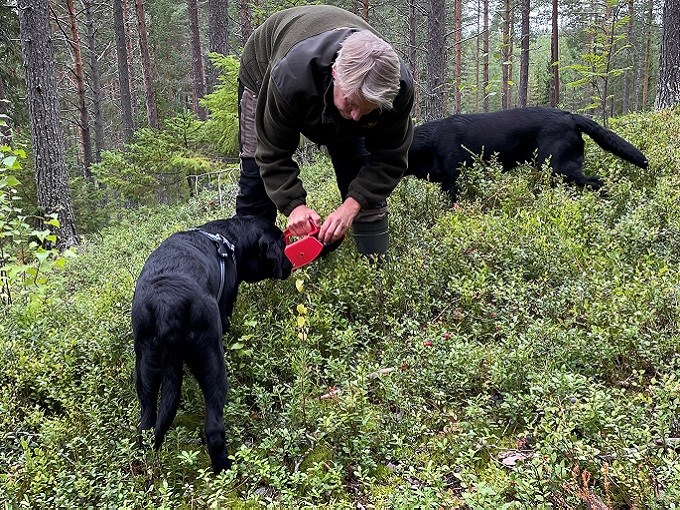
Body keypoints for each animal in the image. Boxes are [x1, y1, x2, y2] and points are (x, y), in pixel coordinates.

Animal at [131, 213, 292, 472]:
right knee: (214, 427)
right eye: (283, 245)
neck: (230, 241)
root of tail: (166, 305)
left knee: (146, 424)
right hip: (211, 361)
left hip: (145, 367)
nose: (289, 266)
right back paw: (225, 468)